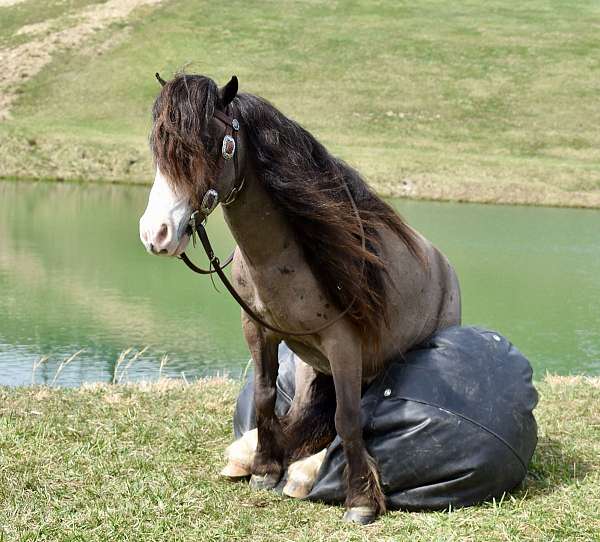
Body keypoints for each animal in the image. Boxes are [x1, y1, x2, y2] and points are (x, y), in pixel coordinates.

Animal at [139, 74, 460, 524]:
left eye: (212, 143)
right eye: (159, 144)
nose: (157, 234)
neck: (285, 257)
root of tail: (446, 269)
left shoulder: (343, 344)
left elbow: (348, 418)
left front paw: (360, 501)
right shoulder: (258, 331)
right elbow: (266, 398)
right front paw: (264, 468)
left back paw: (308, 473)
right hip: (314, 367)